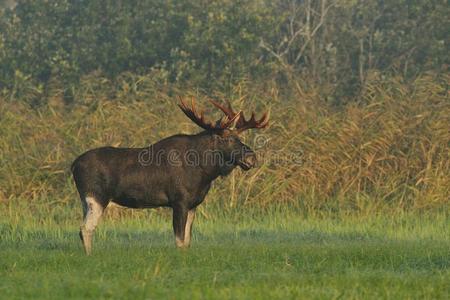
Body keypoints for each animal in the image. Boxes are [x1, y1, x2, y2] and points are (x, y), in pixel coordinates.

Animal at [70, 97, 268, 254]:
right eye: (227, 139)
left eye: (239, 138)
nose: (252, 158)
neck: (205, 172)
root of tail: (73, 165)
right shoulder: (179, 200)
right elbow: (179, 240)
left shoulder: (193, 204)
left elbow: (187, 240)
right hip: (96, 197)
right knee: (85, 228)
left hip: (86, 201)